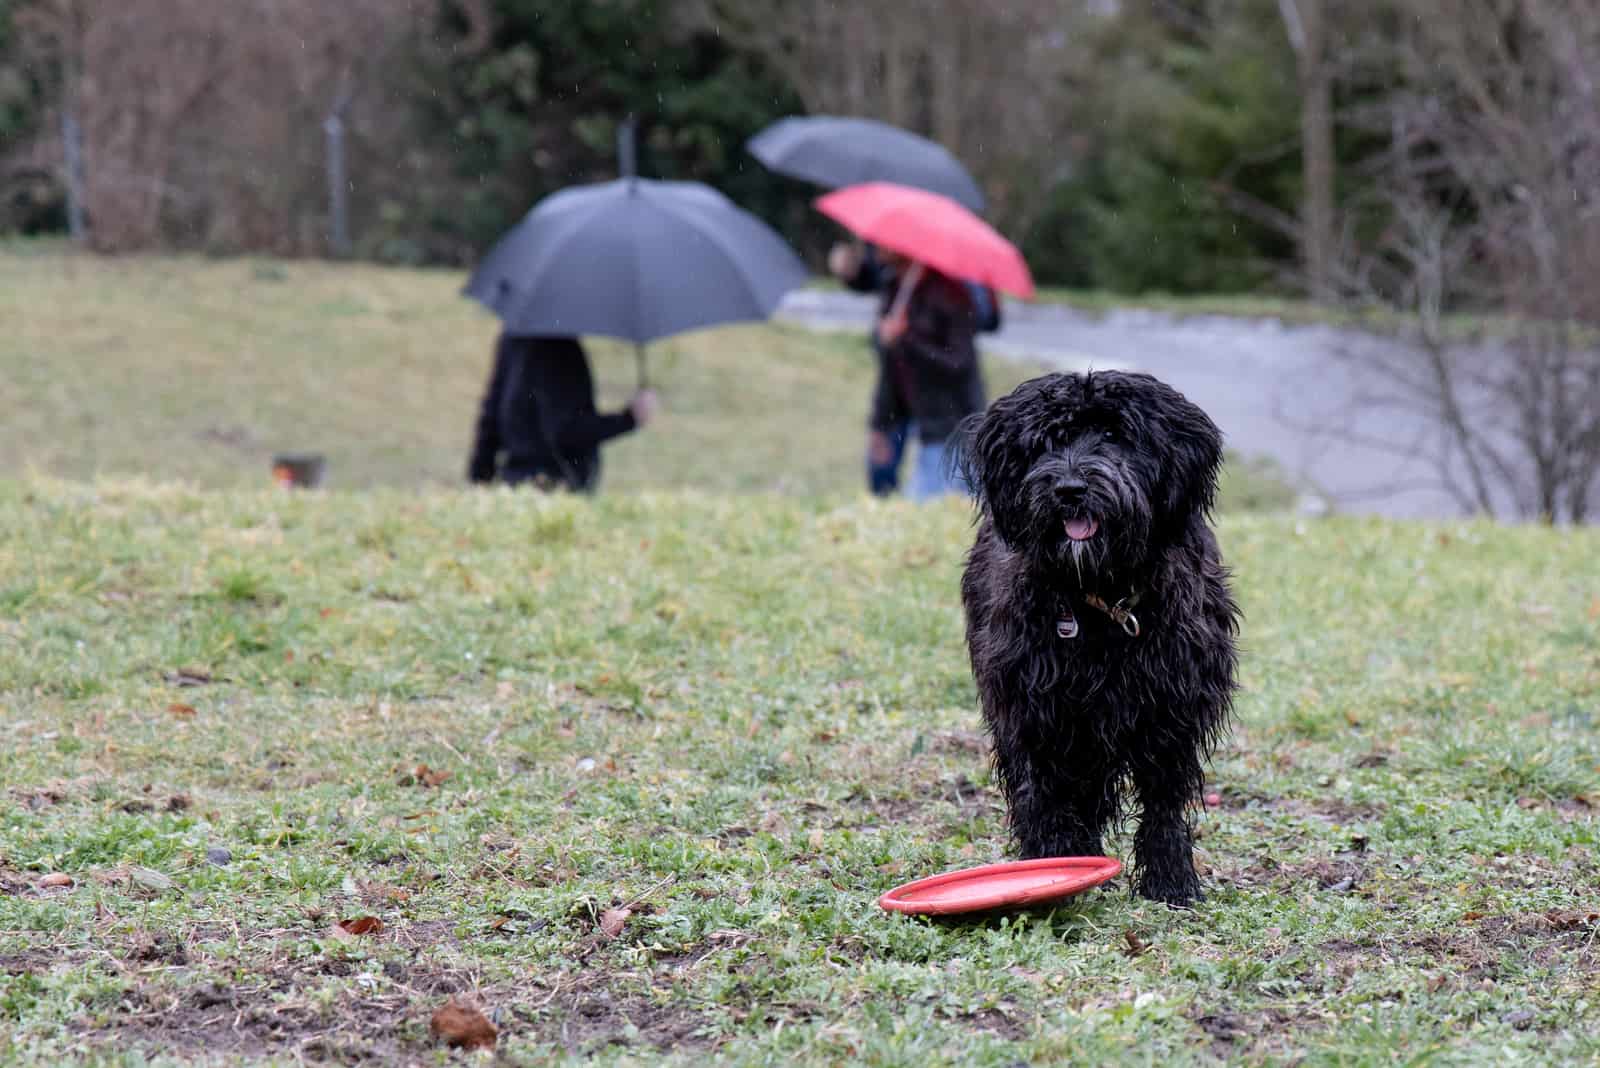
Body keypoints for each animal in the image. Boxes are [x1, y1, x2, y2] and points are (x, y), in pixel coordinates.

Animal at [953, 370, 1241, 908]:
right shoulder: (1035, 711)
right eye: (1047, 441)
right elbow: (1043, 794)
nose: (1070, 488)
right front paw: (1052, 867)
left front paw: (1170, 881)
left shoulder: (1171, 709)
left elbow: (1165, 800)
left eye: (1114, 435)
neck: (1101, 599)